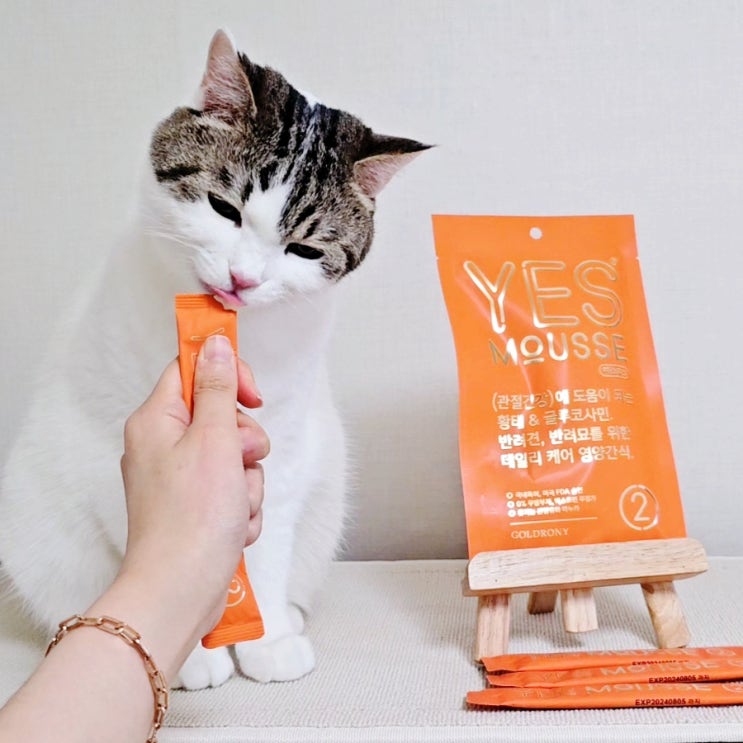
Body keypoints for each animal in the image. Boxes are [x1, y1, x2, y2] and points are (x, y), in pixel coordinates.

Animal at [0, 29, 428, 689]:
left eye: (305, 249)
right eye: (224, 208)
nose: (243, 279)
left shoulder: (283, 450)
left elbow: (267, 548)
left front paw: (266, 638)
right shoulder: (113, 449)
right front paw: (195, 655)